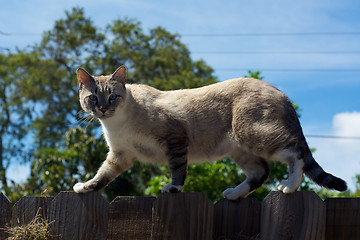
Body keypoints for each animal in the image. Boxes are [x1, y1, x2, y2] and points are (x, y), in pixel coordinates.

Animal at [72, 65, 346, 199]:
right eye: (93, 98)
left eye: (113, 96)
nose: (103, 108)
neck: (117, 123)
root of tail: (280, 91)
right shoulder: (120, 155)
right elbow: (102, 176)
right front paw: (84, 188)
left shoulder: (175, 139)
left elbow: (178, 170)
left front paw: (173, 189)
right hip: (240, 149)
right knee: (261, 172)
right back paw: (233, 195)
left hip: (254, 134)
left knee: (296, 153)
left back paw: (288, 187)